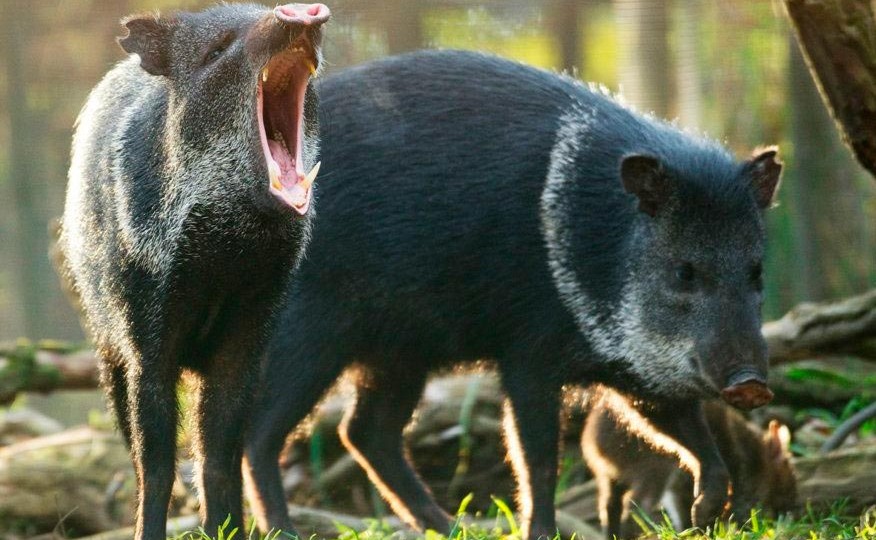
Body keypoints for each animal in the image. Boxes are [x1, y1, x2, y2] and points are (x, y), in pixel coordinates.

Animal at [58, 3, 329, 539]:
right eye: (217, 49)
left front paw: (225, 529)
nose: (299, 12)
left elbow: (220, 453)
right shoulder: (146, 342)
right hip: (106, 349)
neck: (226, 258)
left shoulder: (249, 339)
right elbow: (156, 461)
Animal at [582, 387, 797, 539]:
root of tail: (595, 439)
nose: (792, 513)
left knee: (609, 507)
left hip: (609, 476)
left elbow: (686, 515)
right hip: (656, 472)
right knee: (634, 508)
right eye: (789, 483)